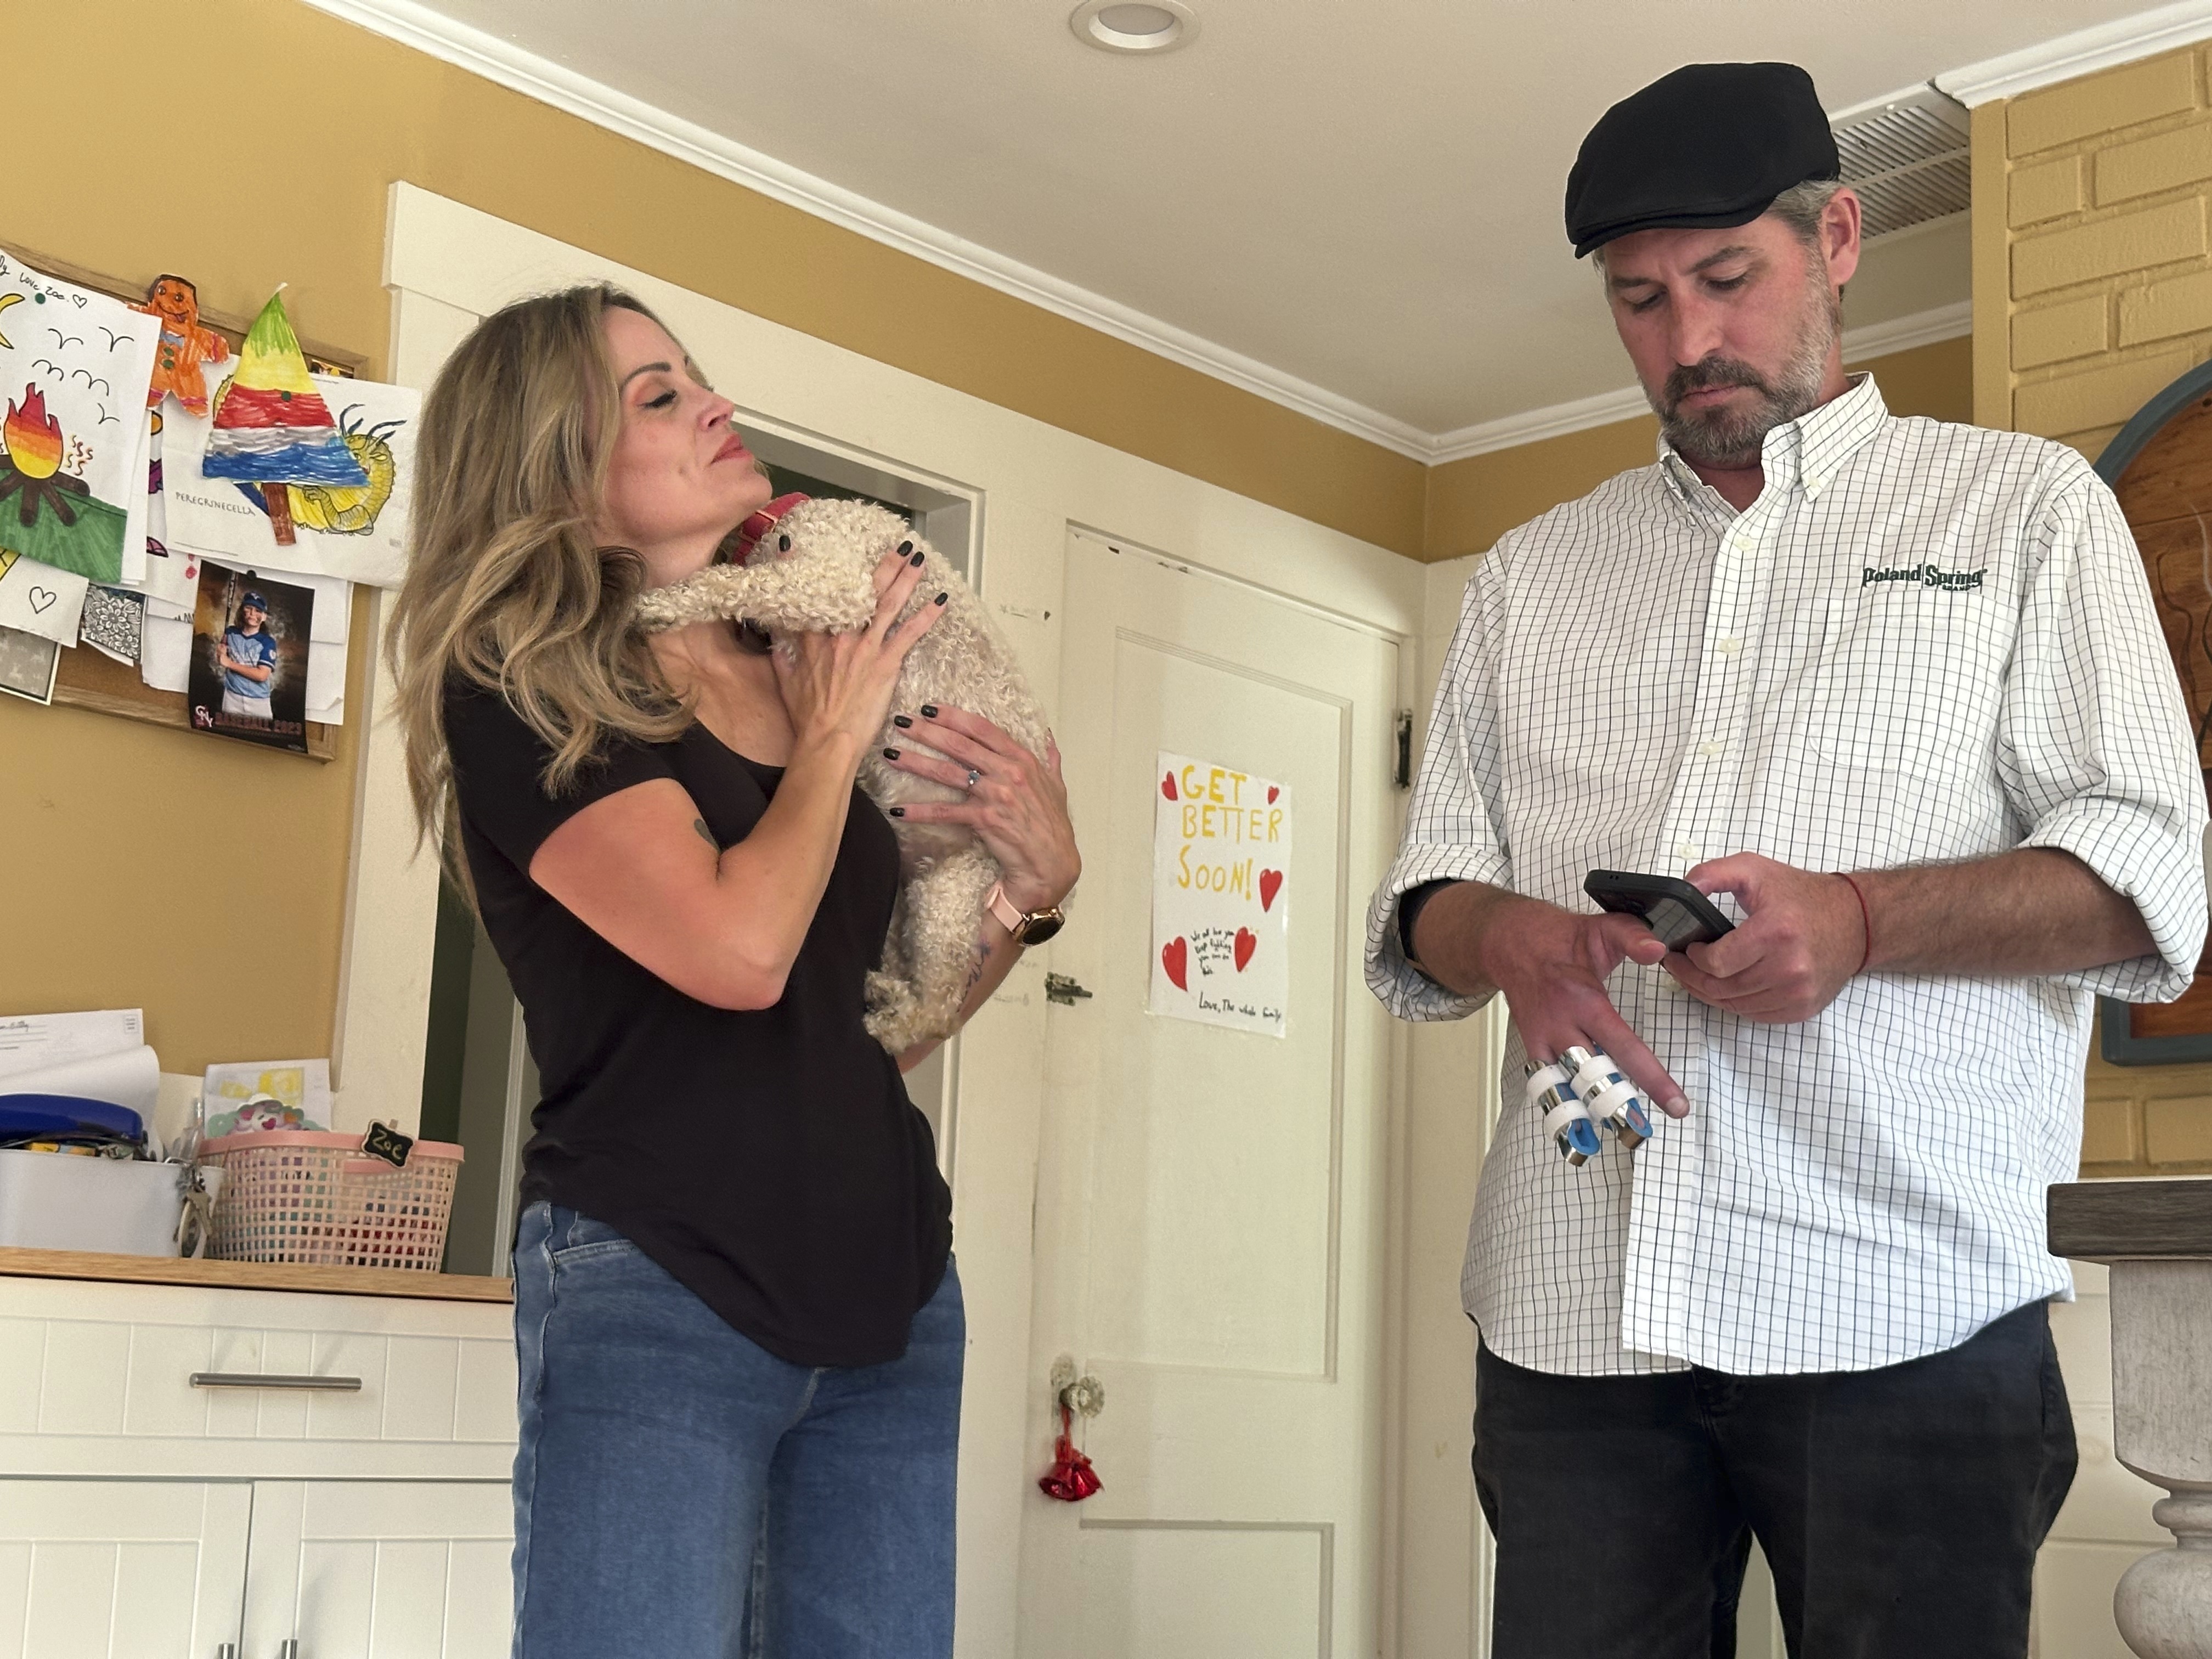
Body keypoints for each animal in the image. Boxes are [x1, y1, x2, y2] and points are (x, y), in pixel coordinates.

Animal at [641, 498, 1053, 1053]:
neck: (781, 528)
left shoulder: (839, 584)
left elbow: (740, 583)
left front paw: (666, 602)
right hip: (912, 903)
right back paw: (887, 989)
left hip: (949, 899)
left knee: (942, 1011)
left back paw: (891, 1024)